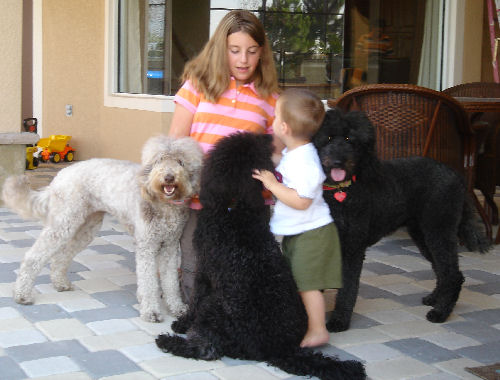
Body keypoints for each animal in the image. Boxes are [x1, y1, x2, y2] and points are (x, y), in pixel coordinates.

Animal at [157, 133, 368, 380]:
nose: (269, 136)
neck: (235, 207)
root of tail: (279, 347)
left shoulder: (205, 270)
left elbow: (195, 300)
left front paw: (182, 323)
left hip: (215, 309)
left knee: (207, 349)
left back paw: (168, 341)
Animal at [314, 108, 490, 332]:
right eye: (327, 139)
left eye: (349, 139)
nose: (338, 162)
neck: (341, 192)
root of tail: (457, 176)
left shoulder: (353, 247)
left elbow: (348, 287)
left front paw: (339, 321)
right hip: (423, 233)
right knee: (441, 270)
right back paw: (435, 299)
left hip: (439, 229)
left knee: (452, 274)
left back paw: (440, 313)